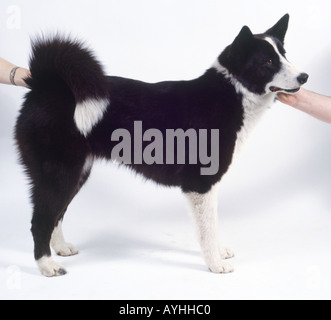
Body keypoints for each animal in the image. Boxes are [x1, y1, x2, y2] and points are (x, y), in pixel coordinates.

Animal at [15, 13, 308, 276]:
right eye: (268, 61)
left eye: (284, 55)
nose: (304, 76)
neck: (232, 92)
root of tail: (47, 84)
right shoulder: (201, 184)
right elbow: (208, 228)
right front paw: (215, 264)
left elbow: (212, 225)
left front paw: (218, 252)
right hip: (59, 173)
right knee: (39, 221)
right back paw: (47, 265)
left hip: (76, 174)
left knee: (56, 214)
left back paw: (60, 248)